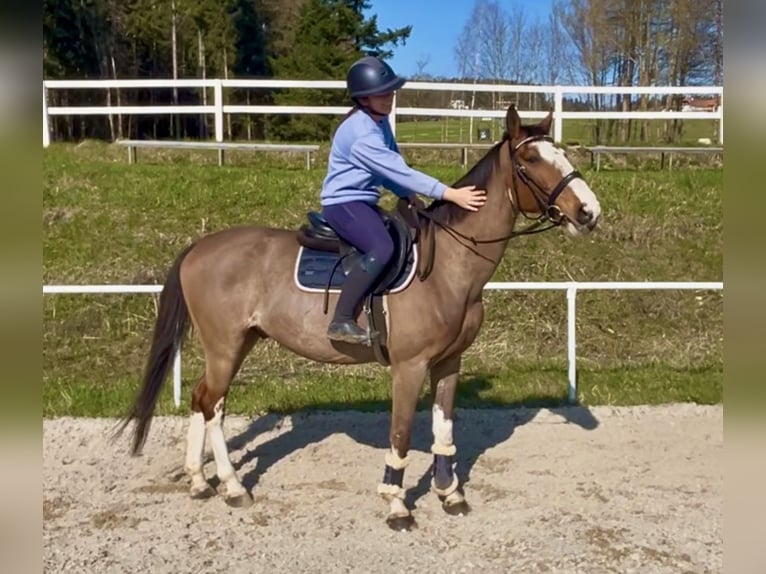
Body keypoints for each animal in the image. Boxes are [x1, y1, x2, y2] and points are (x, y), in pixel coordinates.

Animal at [115, 104, 601, 530]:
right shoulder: (409, 367)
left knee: (202, 399)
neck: (449, 265)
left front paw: (450, 494)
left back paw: (200, 481)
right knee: (213, 404)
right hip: (225, 344)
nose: (589, 212)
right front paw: (397, 504)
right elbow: (401, 434)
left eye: (562, 152)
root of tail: (200, 246)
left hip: (239, 341)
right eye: (531, 159)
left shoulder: (449, 363)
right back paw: (233, 486)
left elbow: (443, 430)